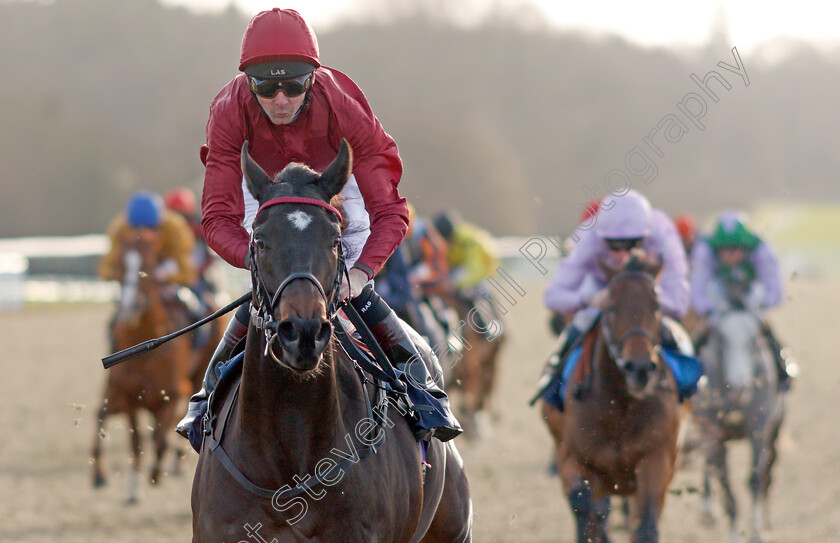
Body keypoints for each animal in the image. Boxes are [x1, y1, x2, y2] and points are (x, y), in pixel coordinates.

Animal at [92, 226, 217, 502]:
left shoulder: (171, 394)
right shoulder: (128, 396)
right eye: (119, 265)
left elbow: (159, 439)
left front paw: (155, 473)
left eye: (148, 265)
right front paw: (130, 486)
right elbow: (136, 440)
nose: (130, 306)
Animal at [540, 256, 684, 543]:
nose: (640, 368)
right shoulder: (573, 459)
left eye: (656, 306)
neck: (620, 406)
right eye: (611, 307)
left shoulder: (656, 459)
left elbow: (646, 522)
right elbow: (584, 509)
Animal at [688, 308, 788, 540]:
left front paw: (758, 532)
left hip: (775, 429)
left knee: (769, 472)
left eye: (754, 340)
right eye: (720, 338)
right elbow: (726, 486)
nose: (739, 386)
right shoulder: (712, 435)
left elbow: (756, 479)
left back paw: (766, 521)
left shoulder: (758, 429)